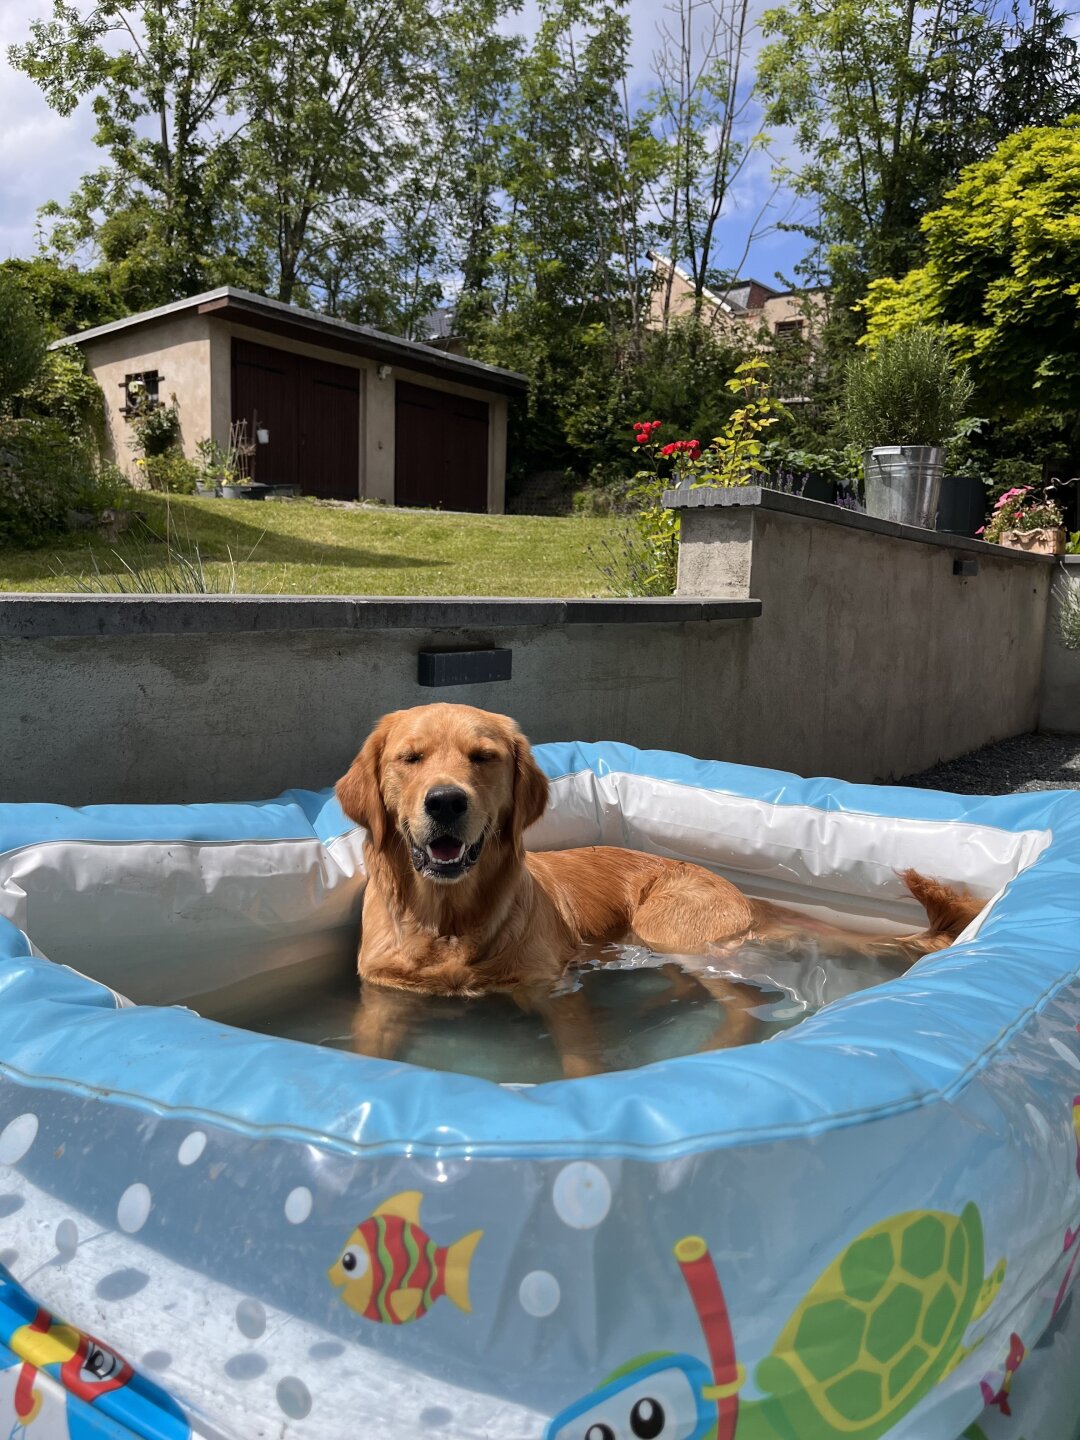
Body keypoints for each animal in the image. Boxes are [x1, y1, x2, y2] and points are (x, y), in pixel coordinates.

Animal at [338, 702, 990, 1077]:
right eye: (411, 758)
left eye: (483, 757)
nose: (446, 802)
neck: (449, 922)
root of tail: (737, 890)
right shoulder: (382, 999)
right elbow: (366, 1052)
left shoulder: (557, 992)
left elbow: (579, 1059)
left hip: (671, 927)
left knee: (742, 1003)